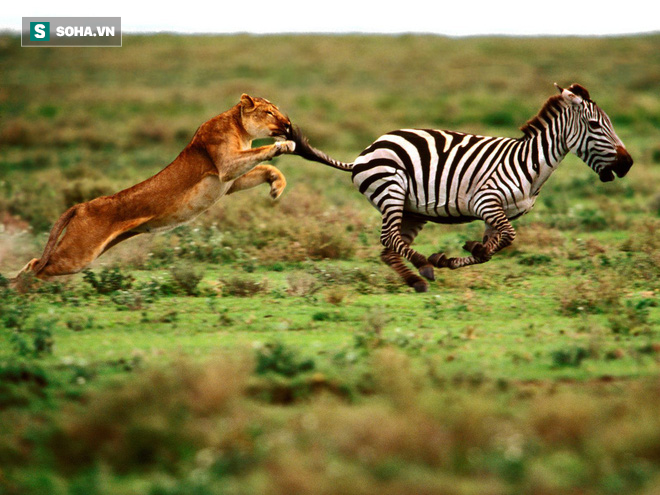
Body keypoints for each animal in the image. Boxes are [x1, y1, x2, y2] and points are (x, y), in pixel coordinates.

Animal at [290, 83, 636, 292]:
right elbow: (508, 238)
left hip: (412, 209)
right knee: (389, 238)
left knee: (388, 247)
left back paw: (415, 279)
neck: (530, 163)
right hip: (391, 190)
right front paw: (451, 256)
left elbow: (493, 247)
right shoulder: (486, 201)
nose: (627, 164)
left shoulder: (499, 213)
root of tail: (365, 152)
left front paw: (465, 252)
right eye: (595, 125)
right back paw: (423, 266)